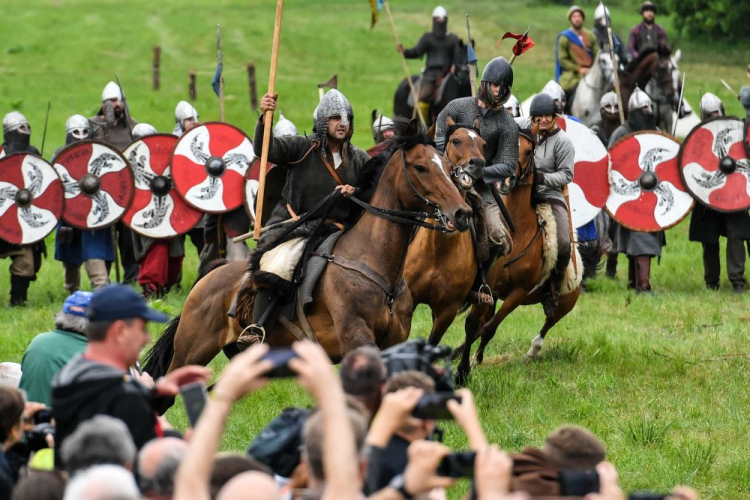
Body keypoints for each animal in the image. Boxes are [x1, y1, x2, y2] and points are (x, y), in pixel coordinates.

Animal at [144, 123, 472, 376]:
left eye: (447, 167)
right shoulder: (358, 340)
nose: (462, 213)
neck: (375, 266)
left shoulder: (394, 344)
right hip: (188, 354)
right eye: (421, 167)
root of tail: (207, 278)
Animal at [406, 121, 488, 348]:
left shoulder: (447, 311)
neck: (438, 249)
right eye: (456, 140)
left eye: (483, 144)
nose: (477, 163)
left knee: (472, 325)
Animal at [456, 130, 584, 382]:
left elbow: (489, 328)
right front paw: (468, 359)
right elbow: (478, 325)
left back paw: (533, 350)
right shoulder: (491, 290)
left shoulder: (518, 294)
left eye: (528, 151)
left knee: (548, 322)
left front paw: (473, 361)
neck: (518, 232)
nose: (506, 180)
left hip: (565, 304)